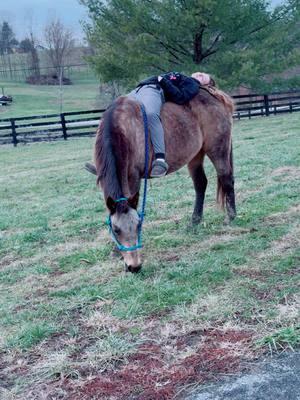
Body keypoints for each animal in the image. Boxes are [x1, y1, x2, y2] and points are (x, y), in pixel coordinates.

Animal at [85, 86, 236, 274]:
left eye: (138, 225)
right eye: (116, 229)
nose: (134, 267)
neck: (120, 128)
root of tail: (216, 95)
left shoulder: (133, 176)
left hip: (217, 149)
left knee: (226, 179)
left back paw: (230, 217)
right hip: (195, 155)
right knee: (201, 184)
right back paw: (194, 221)